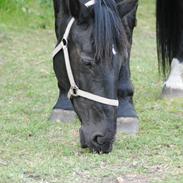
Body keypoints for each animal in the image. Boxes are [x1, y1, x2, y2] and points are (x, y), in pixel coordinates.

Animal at [50, 0, 183, 153]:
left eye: (122, 60)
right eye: (87, 61)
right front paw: (63, 103)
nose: (103, 138)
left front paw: (126, 109)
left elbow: (126, 30)